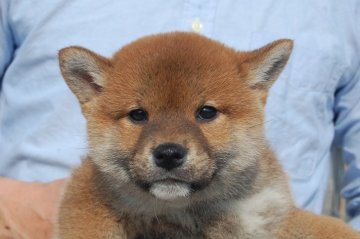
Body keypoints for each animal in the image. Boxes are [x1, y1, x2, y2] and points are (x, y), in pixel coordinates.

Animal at [57, 32, 360, 239]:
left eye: (206, 112)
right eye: (138, 115)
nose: (169, 154)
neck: (193, 211)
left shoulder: (269, 214)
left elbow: (331, 227)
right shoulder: (87, 200)